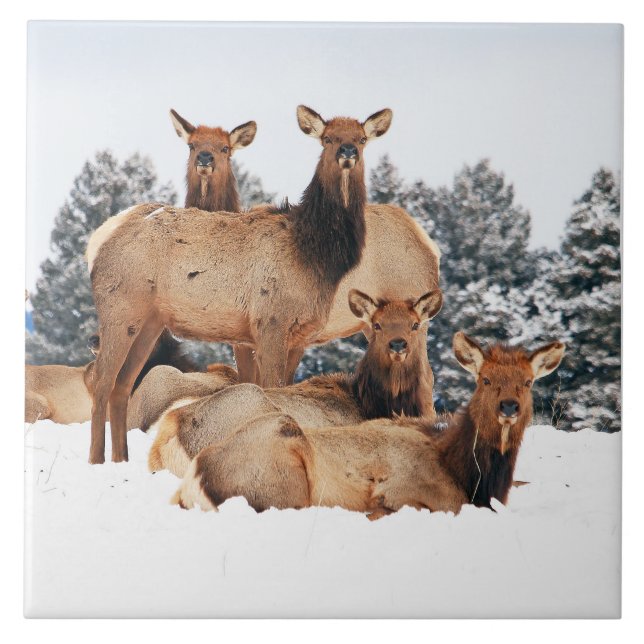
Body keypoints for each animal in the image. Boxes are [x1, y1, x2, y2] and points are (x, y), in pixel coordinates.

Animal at [171, 332, 565, 518]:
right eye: (485, 379)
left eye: (528, 381)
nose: (509, 406)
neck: (470, 477)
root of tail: (196, 479)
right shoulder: (407, 493)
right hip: (283, 472)